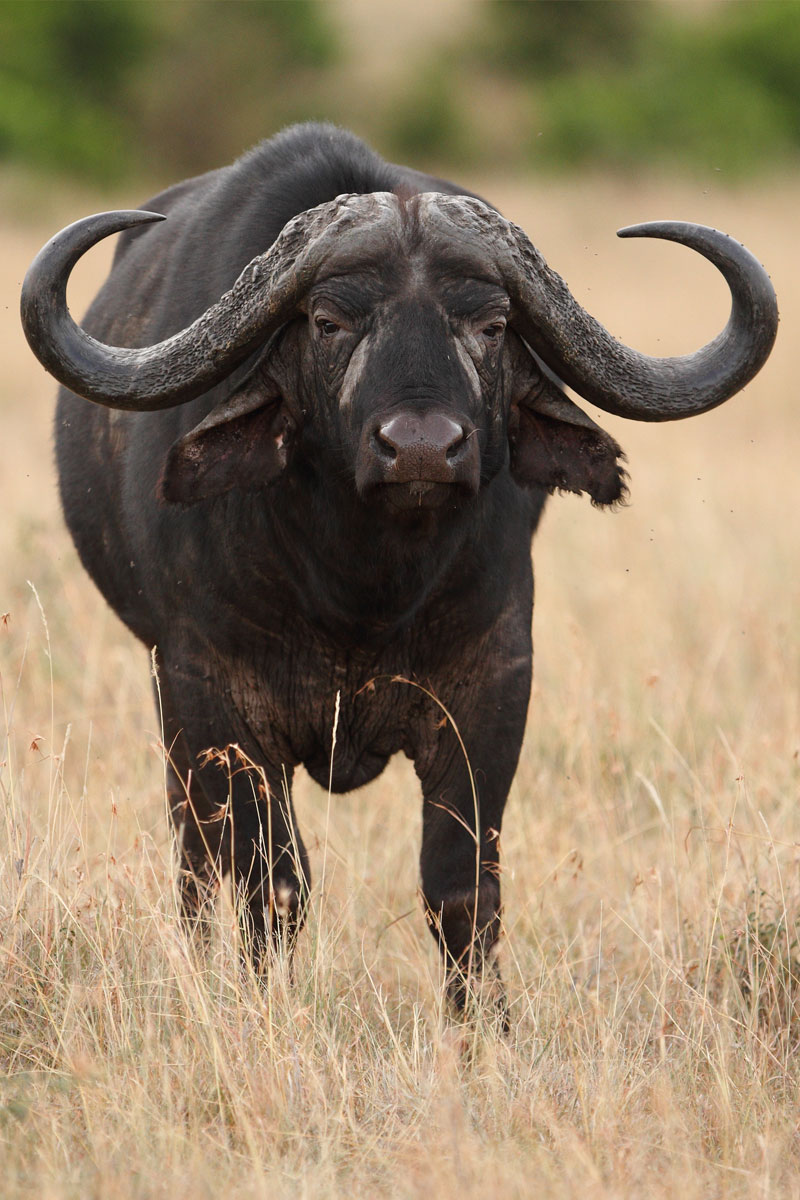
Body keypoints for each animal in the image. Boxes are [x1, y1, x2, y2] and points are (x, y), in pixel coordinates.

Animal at [21, 124, 777, 1023]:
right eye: (328, 320)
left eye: (490, 324)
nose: (420, 448)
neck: (363, 587)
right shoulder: (213, 697)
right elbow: (270, 884)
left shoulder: (492, 686)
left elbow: (461, 887)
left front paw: (482, 1028)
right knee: (198, 861)